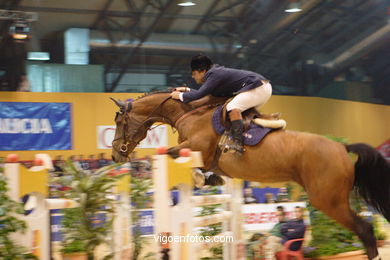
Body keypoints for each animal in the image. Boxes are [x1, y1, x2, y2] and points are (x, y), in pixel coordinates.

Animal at [109, 90, 390, 258]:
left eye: (120, 121)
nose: (115, 156)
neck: (189, 113)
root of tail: (341, 147)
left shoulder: (196, 148)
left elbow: (169, 152)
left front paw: (199, 177)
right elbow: (199, 167)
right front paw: (208, 178)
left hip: (328, 201)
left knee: (364, 230)